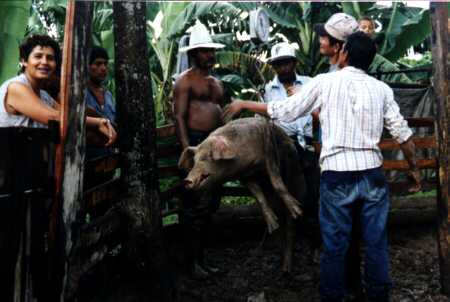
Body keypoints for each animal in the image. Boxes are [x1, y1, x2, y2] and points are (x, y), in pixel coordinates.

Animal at [178, 117, 306, 272]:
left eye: (206, 157)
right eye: (195, 160)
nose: (187, 180)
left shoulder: (269, 150)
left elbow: (276, 180)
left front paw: (297, 210)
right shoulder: (245, 176)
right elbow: (259, 196)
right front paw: (272, 222)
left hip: (297, 179)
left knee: (291, 226)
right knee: (279, 229)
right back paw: (275, 236)